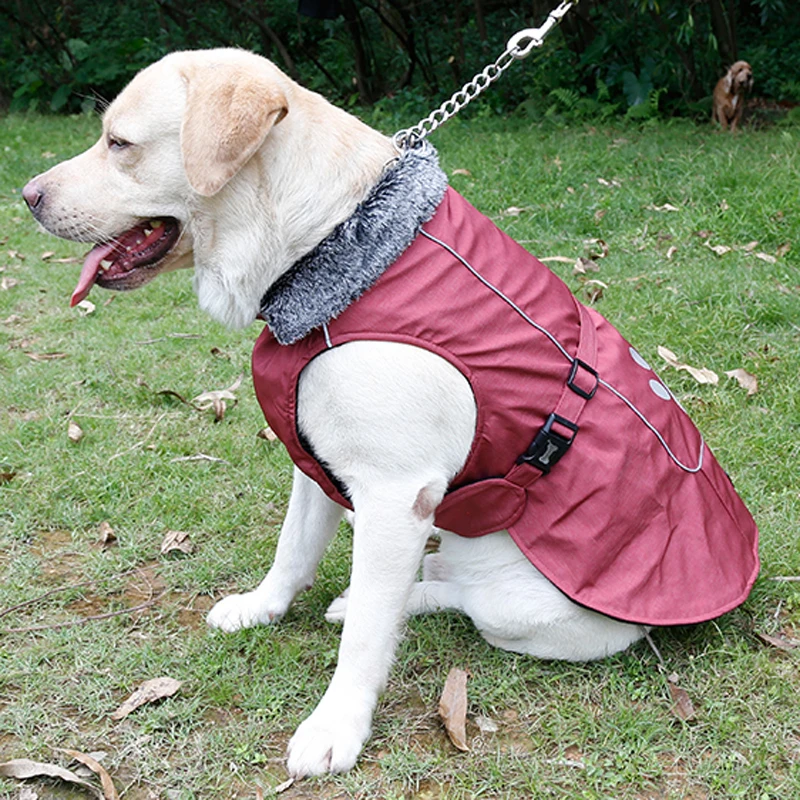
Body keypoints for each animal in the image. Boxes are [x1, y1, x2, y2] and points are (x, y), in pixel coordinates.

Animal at [23, 48, 756, 776]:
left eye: (120, 144)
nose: (27, 196)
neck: (326, 246)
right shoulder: (315, 457)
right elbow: (293, 548)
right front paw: (263, 607)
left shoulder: (396, 495)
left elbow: (368, 638)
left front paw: (335, 726)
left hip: (528, 607)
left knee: (454, 599)